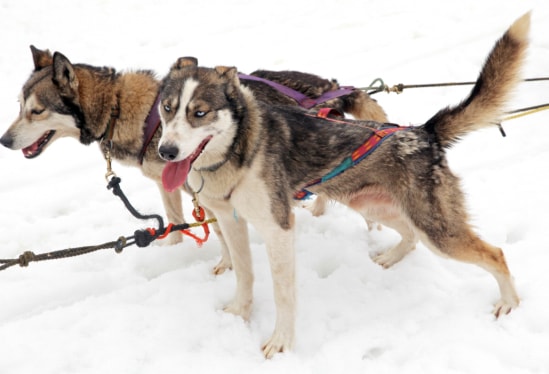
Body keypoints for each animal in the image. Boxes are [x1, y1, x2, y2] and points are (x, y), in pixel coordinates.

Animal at [1, 48, 386, 274]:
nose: (4, 140)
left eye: (37, 110)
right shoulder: (171, 184)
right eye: (19, 105)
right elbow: (174, 221)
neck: (120, 108)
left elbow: (218, 231)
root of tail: (329, 85)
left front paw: (226, 265)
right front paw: (170, 247)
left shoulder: (202, 189)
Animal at [157, 13, 528, 356]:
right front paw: (239, 313)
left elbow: (283, 293)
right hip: (374, 206)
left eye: (200, 113)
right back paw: (392, 257)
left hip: (437, 231)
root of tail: (423, 132)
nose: (166, 151)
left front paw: (281, 342)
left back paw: (509, 302)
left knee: (495, 254)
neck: (239, 149)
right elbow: (244, 274)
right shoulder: (231, 221)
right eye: (167, 107)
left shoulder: (278, 228)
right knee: (410, 237)